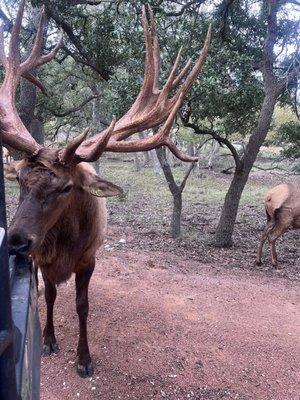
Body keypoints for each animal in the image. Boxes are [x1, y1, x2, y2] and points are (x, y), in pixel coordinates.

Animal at [0, 0, 211, 376]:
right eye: (21, 181)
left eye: (66, 187)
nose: (17, 240)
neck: (65, 249)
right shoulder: (41, 258)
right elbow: (50, 295)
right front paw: (49, 339)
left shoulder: (89, 259)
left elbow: (82, 305)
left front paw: (84, 359)